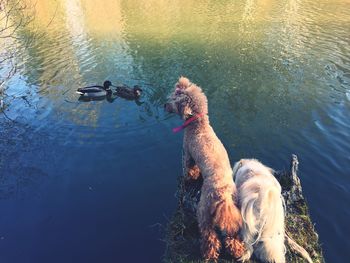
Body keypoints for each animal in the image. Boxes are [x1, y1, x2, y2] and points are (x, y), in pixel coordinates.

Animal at [164, 76, 243, 262]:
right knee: (232, 235)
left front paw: (188, 178)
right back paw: (238, 251)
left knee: (210, 237)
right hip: (233, 210)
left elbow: (189, 170)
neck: (198, 125)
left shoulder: (188, 154)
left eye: (174, 99)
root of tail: (223, 194)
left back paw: (208, 254)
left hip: (204, 211)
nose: (164, 105)